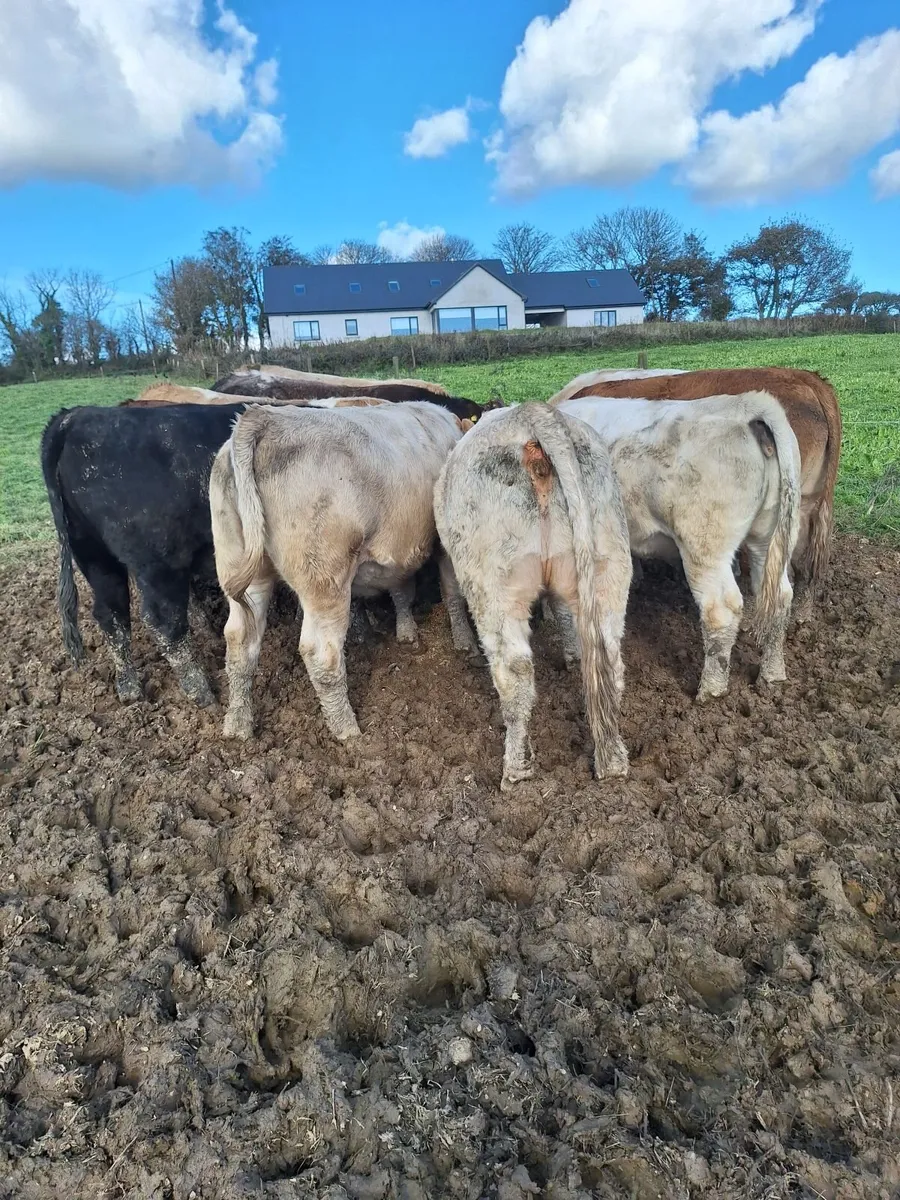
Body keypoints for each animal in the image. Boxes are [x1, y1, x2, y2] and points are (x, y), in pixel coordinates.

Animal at [209, 401, 469, 741]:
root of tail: (265, 418)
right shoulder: (443, 543)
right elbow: (452, 591)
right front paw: (463, 641)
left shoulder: (399, 549)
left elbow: (401, 590)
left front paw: (407, 632)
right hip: (324, 579)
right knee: (321, 654)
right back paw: (347, 730)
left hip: (244, 568)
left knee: (240, 641)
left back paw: (237, 725)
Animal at [434, 404, 632, 790]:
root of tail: (532, 413)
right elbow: (564, 614)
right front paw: (570, 655)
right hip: (609, 563)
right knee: (610, 660)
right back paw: (615, 762)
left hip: (495, 584)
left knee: (515, 671)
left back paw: (516, 768)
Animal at [559, 392, 801, 702]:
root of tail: (748, 405)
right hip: (767, 540)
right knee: (779, 598)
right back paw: (772, 674)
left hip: (704, 547)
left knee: (720, 611)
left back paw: (710, 689)